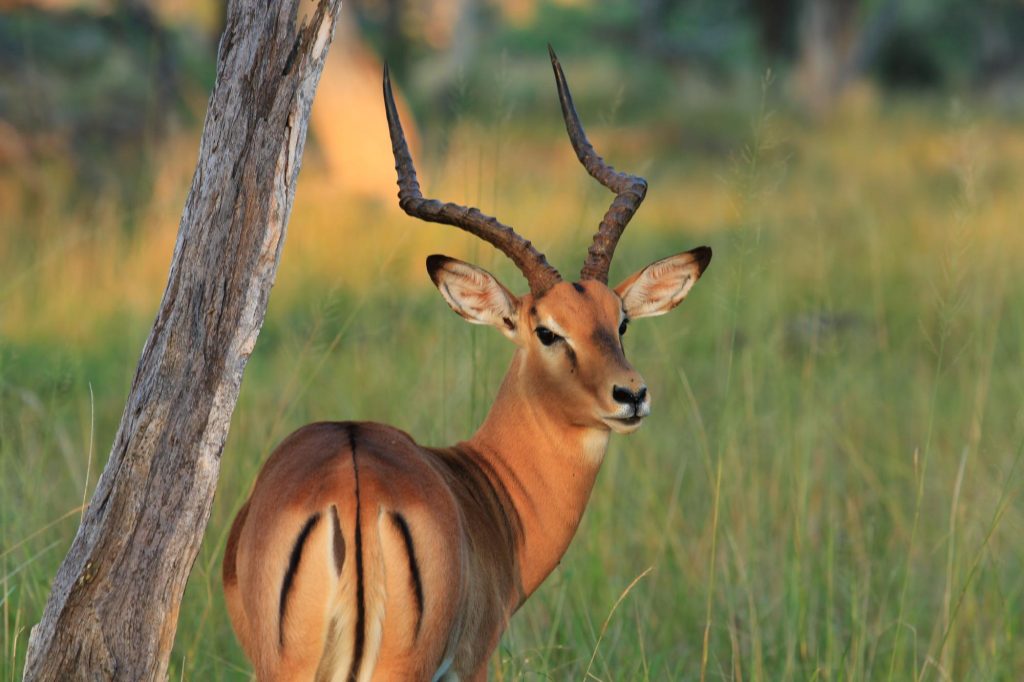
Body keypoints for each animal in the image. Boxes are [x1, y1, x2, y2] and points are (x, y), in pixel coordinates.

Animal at [223, 47, 711, 681]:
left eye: (620, 321)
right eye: (547, 331)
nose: (631, 394)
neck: (487, 491)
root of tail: (349, 486)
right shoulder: (474, 660)